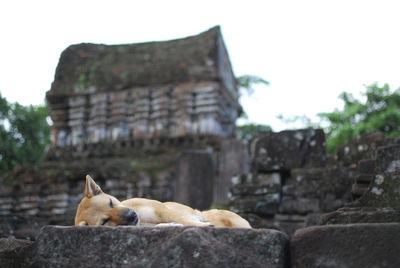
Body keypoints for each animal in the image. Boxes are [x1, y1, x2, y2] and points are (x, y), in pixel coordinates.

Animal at [74, 176, 250, 228]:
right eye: (105, 221)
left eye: (111, 202)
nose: (132, 216)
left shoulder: (163, 210)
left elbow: (184, 219)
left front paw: (202, 225)